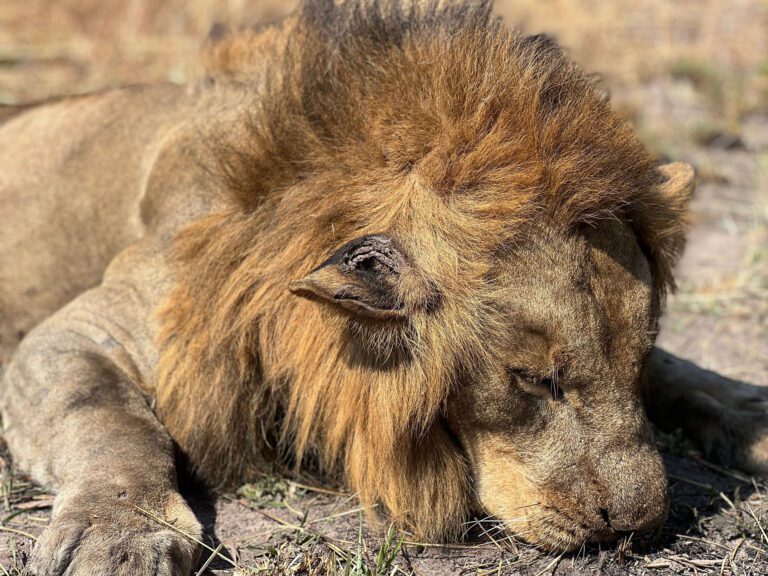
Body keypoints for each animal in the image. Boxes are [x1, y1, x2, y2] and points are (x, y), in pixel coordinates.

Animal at [1, 1, 767, 574]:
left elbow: (682, 370)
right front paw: (120, 535)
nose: (638, 527)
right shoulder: (84, 334)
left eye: (637, 366)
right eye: (532, 380)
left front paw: (744, 406)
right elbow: (108, 420)